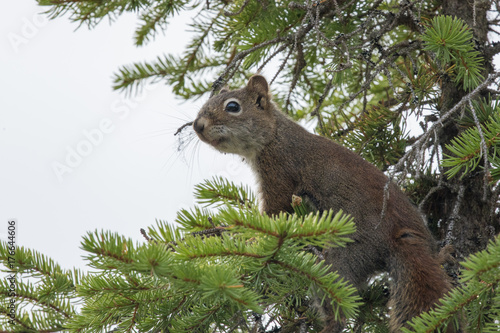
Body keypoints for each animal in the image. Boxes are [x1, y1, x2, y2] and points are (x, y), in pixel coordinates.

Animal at [191, 75, 454, 332]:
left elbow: (274, 213)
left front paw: (246, 236)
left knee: (337, 309)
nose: (197, 126)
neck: (275, 134)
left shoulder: (279, 173)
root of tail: (402, 234)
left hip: (343, 255)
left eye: (232, 107)